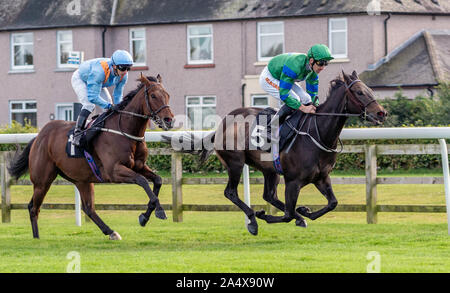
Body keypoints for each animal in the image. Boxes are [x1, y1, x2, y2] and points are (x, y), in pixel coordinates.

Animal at [8, 74, 175, 238]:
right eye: (153, 96)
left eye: (167, 95)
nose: (169, 120)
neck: (125, 131)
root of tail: (38, 137)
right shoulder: (114, 171)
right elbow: (142, 181)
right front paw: (159, 212)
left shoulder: (139, 166)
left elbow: (158, 180)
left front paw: (145, 216)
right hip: (42, 180)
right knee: (33, 208)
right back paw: (37, 239)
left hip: (82, 180)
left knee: (88, 208)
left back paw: (111, 232)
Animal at [174, 70, 384, 235]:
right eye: (359, 92)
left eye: (370, 90)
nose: (382, 113)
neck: (317, 132)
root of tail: (221, 125)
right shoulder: (293, 181)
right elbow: (288, 215)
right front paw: (265, 215)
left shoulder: (321, 177)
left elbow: (332, 203)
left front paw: (305, 212)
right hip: (235, 163)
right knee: (231, 192)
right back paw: (253, 219)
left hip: (269, 169)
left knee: (269, 196)